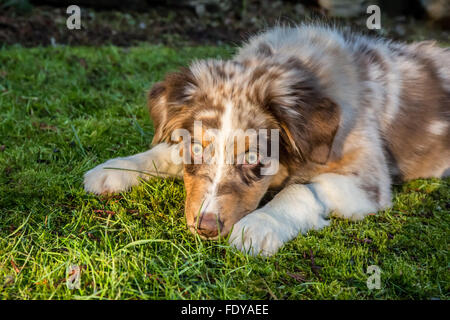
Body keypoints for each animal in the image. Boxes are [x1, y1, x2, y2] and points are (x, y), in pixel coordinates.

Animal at [82, 23, 448, 256]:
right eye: (197, 149)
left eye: (253, 159)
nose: (206, 228)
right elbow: (164, 152)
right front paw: (114, 170)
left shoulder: (369, 182)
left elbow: (300, 189)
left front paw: (259, 225)